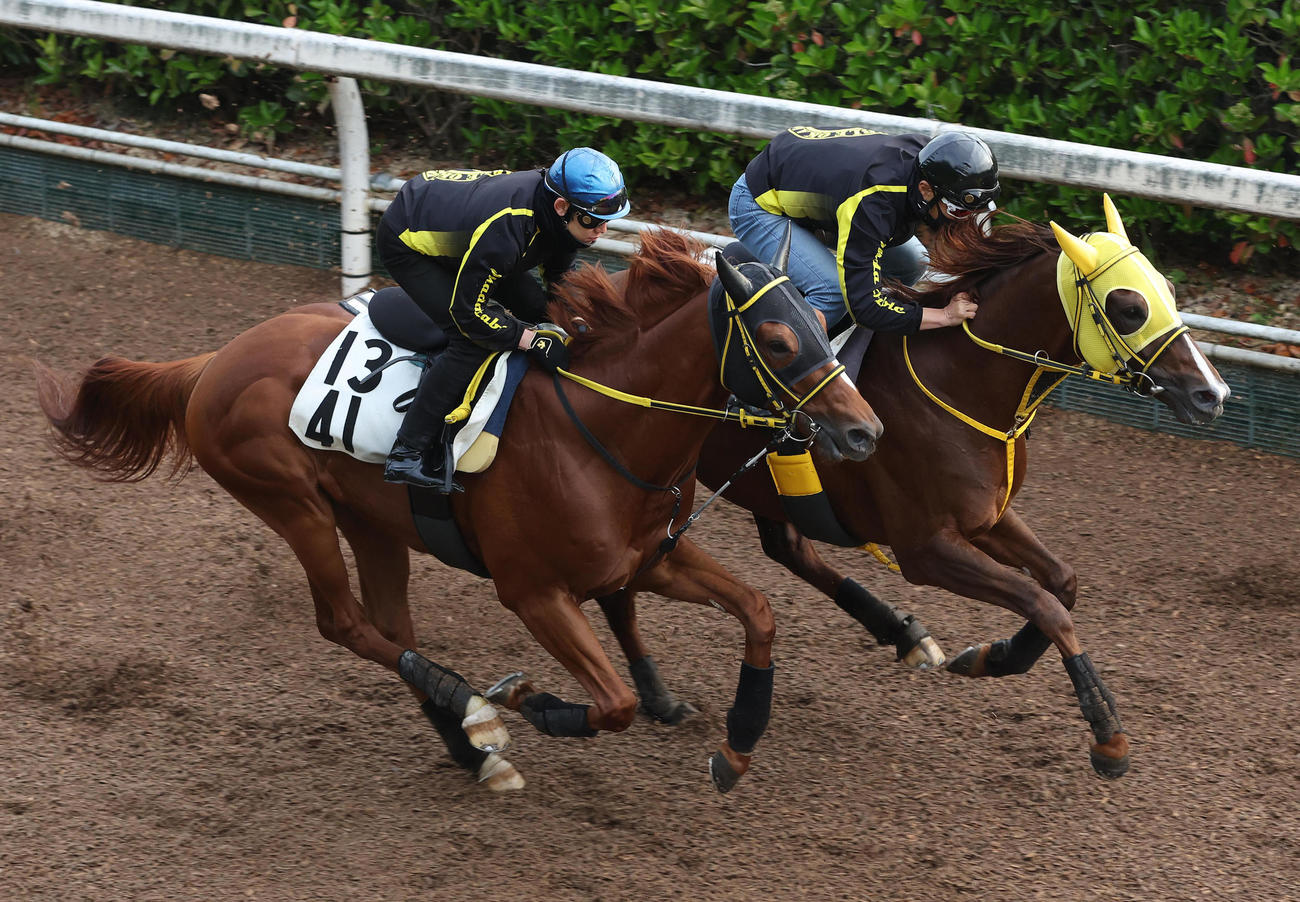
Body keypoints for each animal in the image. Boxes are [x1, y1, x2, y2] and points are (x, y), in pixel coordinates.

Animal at [33, 227, 883, 794]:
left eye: (820, 321)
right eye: (776, 340)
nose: (864, 431)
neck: (601, 430)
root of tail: (213, 361)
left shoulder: (649, 559)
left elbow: (759, 611)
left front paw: (735, 747)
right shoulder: (533, 591)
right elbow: (610, 704)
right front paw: (530, 702)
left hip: (371, 522)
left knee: (389, 625)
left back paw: (470, 742)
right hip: (290, 501)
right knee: (345, 624)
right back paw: (474, 709)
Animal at [602, 197, 1230, 779]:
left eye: (1169, 288)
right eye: (1128, 307)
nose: (1213, 393)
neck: (960, 382)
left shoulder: (987, 517)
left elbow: (1061, 583)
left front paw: (991, 657)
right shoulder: (927, 549)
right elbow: (1045, 604)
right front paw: (1108, 736)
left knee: (788, 548)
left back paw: (903, 634)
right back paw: (657, 695)